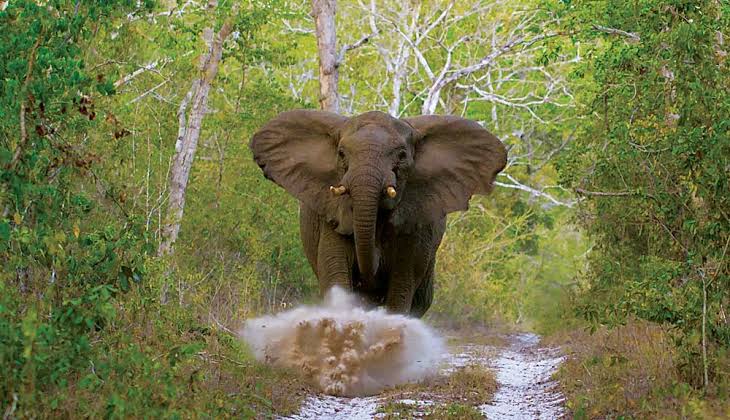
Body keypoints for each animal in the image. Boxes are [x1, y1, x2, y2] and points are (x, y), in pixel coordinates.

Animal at [249, 110, 506, 317]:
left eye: (402, 155)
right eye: (341, 154)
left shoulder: (415, 231)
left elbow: (401, 290)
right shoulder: (331, 219)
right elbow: (336, 278)